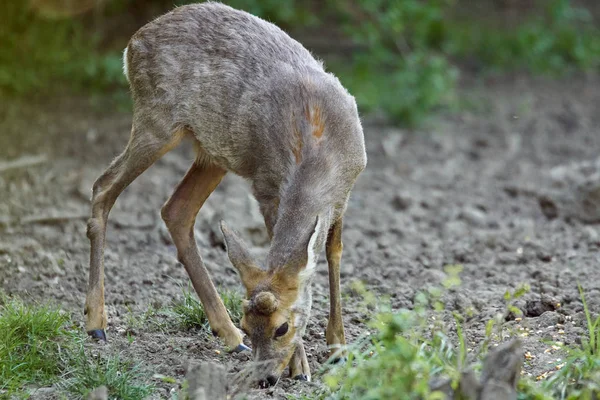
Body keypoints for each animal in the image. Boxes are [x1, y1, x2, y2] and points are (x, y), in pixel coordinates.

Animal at [84, 0, 366, 388]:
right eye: (250, 325)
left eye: (281, 328)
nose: (265, 378)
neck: (321, 156)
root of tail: (132, 45)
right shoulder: (266, 186)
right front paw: (301, 366)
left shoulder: (346, 191)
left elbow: (332, 252)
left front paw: (338, 346)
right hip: (158, 120)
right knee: (103, 186)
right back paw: (96, 324)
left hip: (211, 151)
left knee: (175, 210)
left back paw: (227, 337)